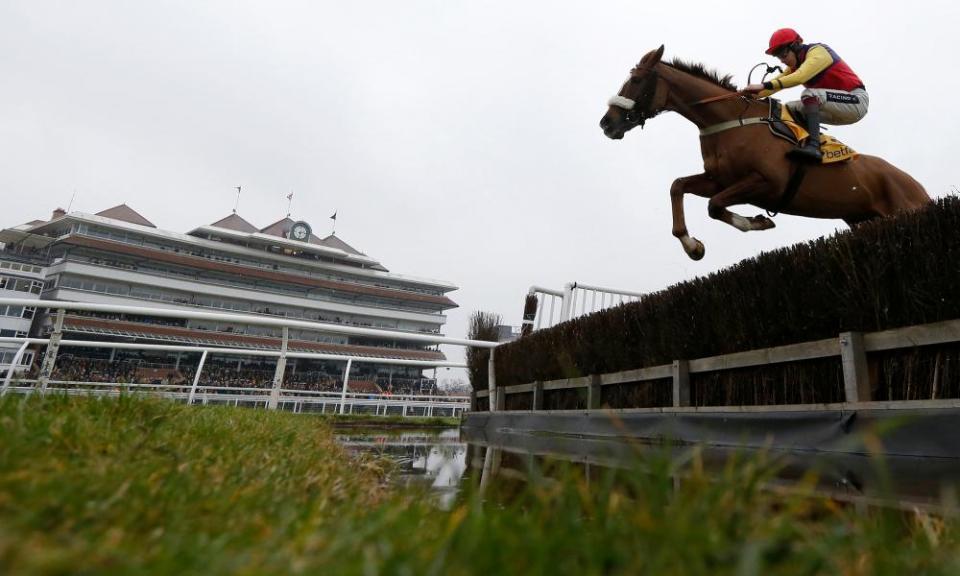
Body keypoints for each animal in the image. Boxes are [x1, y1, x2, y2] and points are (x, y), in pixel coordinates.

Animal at [600, 45, 928, 260]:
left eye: (636, 80)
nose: (607, 123)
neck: (729, 121)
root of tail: (916, 185)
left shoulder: (768, 183)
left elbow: (714, 206)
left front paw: (758, 222)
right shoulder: (720, 180)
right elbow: (678, 186)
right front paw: (692, 245)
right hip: (862, 219)